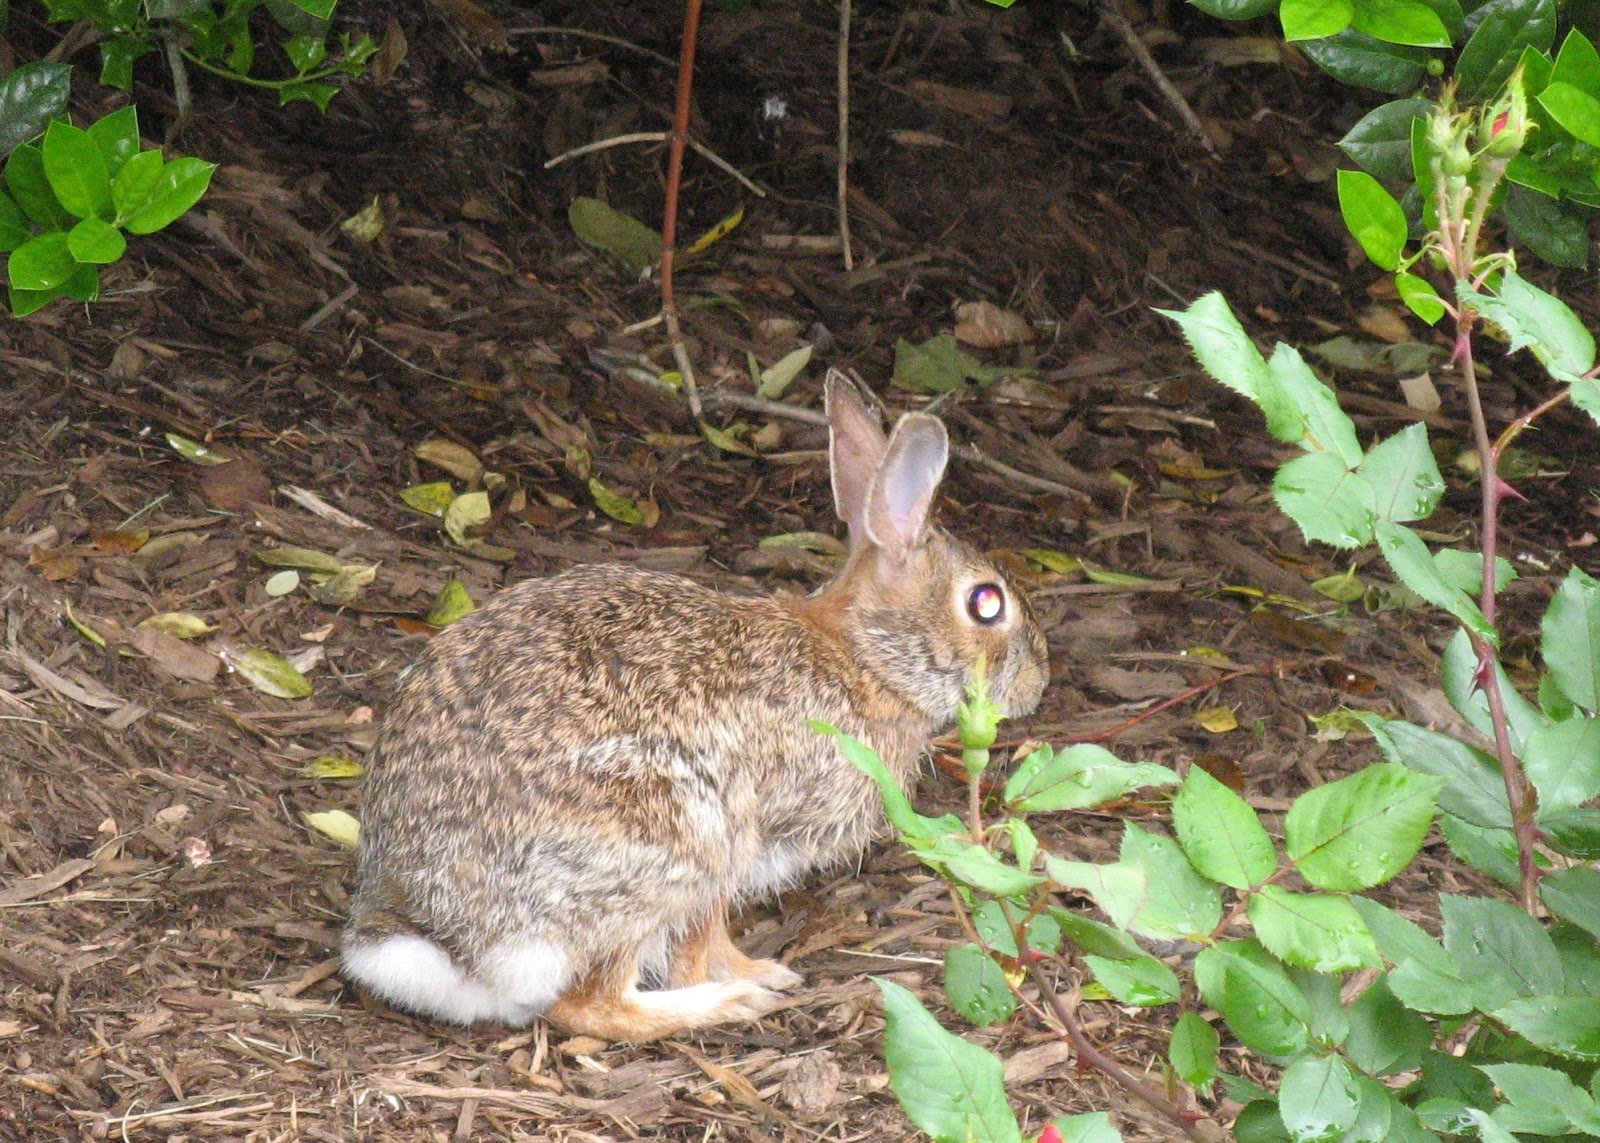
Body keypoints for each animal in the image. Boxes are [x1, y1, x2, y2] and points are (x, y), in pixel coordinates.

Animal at [341, 372, 1050, 1042]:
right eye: (986, 603)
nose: (1038, 684)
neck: (863, 659)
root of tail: (441, 939)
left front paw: (764, 970)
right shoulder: (747, 832)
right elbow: (700, 939)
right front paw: (747, 978)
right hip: (671, 842)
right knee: (589, 1007)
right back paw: (723, 1005)